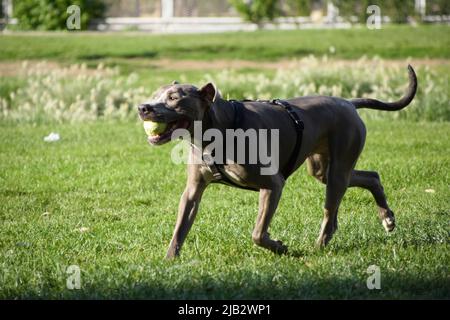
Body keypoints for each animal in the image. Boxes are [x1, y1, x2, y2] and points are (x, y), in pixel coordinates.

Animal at [138, 65, 418, 258]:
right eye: (155, 94)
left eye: (174, 98)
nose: (143, 107)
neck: (218, 129)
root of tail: (347, 102)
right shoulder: (193, 191)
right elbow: (180, 227)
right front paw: (169, 260)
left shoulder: (273, 184)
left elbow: (258, 233)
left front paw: (279, 247)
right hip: (323, 168)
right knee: (370, 177)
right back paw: (386, 218)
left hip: (338, 166)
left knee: (330, 209)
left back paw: (318, 246)